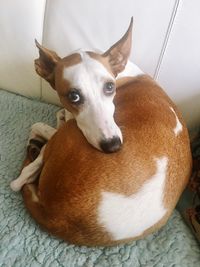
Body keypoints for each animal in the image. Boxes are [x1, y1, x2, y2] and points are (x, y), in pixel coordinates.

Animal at [10, 18, 191, 247]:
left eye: (110, 87)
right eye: (74, 96)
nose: (112, 145)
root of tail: (55, 215)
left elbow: (40, 125)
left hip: (67, 137)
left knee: (21, 179)